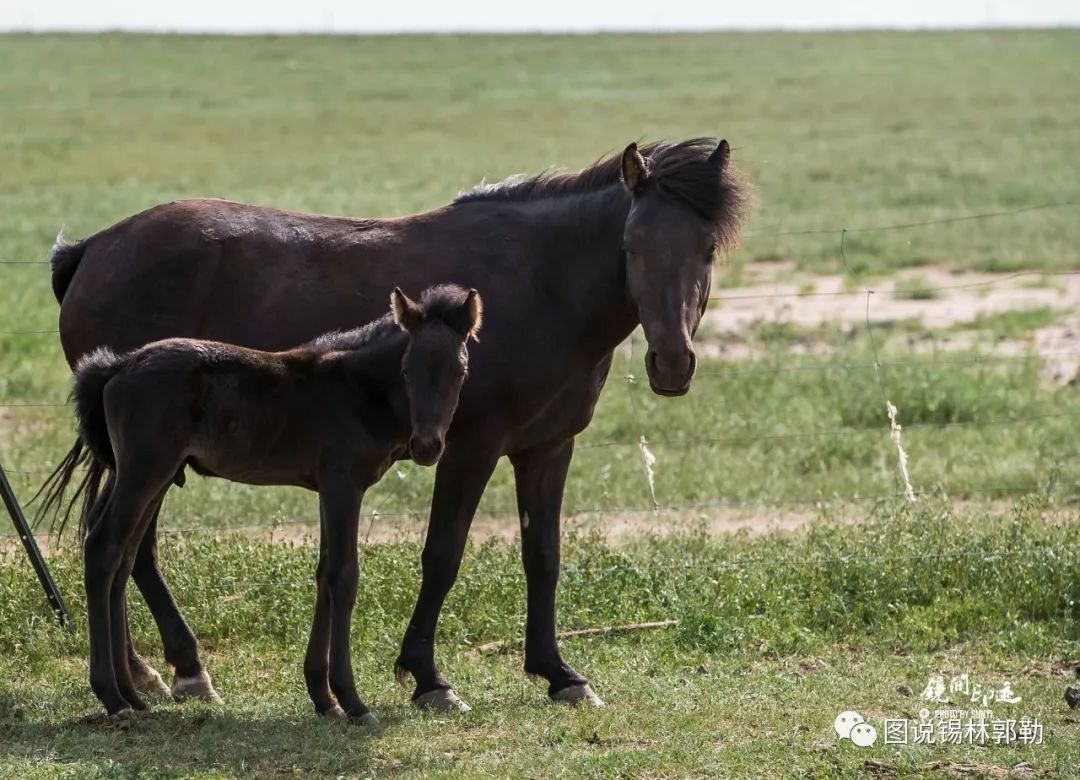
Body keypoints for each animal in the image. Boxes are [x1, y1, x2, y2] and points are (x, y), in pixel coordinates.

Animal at [71, 283, 481, 717]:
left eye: (460, 373)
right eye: (406, 371)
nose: (427, 447)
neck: (356, 389)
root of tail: (119, 365)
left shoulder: (327, 489)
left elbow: (324, 573)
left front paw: (323, 697)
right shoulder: (343, 485)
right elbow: (344, 577)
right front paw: (352, 701)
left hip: (153, 474)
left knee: (123, 554)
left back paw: (132, 695)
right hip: (144, 471)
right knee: (103, 546)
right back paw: (112, 697)